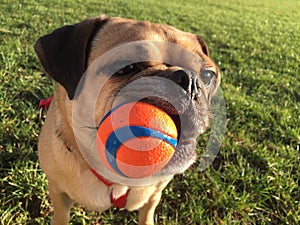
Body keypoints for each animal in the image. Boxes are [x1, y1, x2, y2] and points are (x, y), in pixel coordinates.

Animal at [34, 14, 220, 224]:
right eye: (127, 67)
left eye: (208, 75)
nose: (189, 80)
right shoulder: (58, 193)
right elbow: (60, 216)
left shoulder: (154, 195)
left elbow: (147, 214)